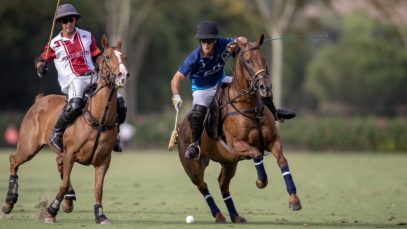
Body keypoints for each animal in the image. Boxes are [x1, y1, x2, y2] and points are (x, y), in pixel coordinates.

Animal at [1, 34, 129, 224]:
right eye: (107, 57)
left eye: (124, 57)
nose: (123, 76)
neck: (99, 118)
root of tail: (39, 100)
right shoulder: (70, 153)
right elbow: (63, 184)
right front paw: (51, 212)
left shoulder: (104, 160)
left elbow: (98, 189)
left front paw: (100, 215)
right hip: (28, 146)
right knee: (13, 160)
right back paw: (8, 203)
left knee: (57, 163)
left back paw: (68, 199)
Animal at [178, 34, 302, 224]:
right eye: (248, 60)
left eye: (264, 59)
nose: (265, 87)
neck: (250, 106)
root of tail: (180, 128)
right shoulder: (237, 144)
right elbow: (257, 155)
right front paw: (260, 182)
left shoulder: (273, 141)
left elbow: (283, 161)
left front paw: (294, 200)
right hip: (192, 167)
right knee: (203, 186)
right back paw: (219, 215)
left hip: (229, 162)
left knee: (223, 184)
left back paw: (235, 216)